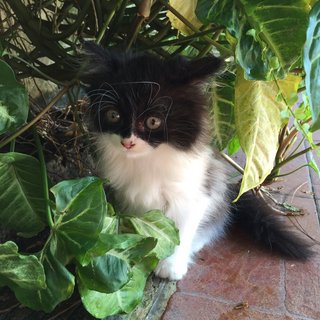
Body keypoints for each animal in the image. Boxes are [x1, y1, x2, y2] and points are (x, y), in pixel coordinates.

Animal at [80, 42, 312, 280]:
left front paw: (170, 266)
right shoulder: (129, 197)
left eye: (153, 121)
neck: (149, 159)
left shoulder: (194, 193)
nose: (128, 142)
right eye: (113, 115)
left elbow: (180, 231)